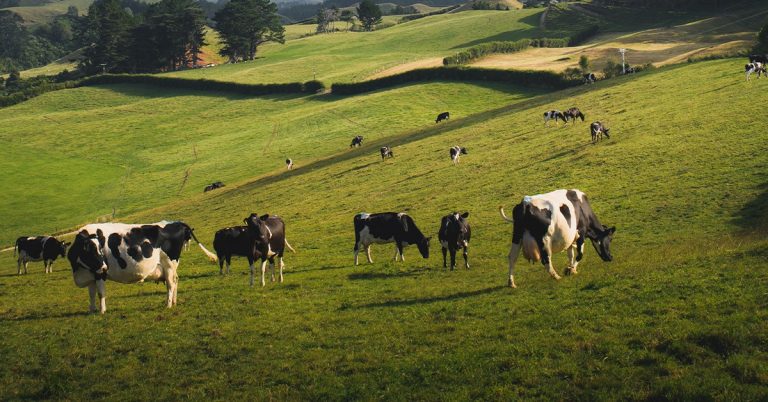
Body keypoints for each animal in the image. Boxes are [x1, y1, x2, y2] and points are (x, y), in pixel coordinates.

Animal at [68, 221, 218, 312]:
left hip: (169, 264)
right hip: (172, 266)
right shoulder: (91, 273)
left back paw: (168, 304)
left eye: (99, 248)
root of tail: (175, 222)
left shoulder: (99, 273)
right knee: (176, 281)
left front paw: (102, 311)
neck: (79, 270)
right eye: (90, 250)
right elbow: (92, 293)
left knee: (170, 284)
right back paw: (174, 302)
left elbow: (100, 293)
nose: (105, 267)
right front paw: (92, 310)